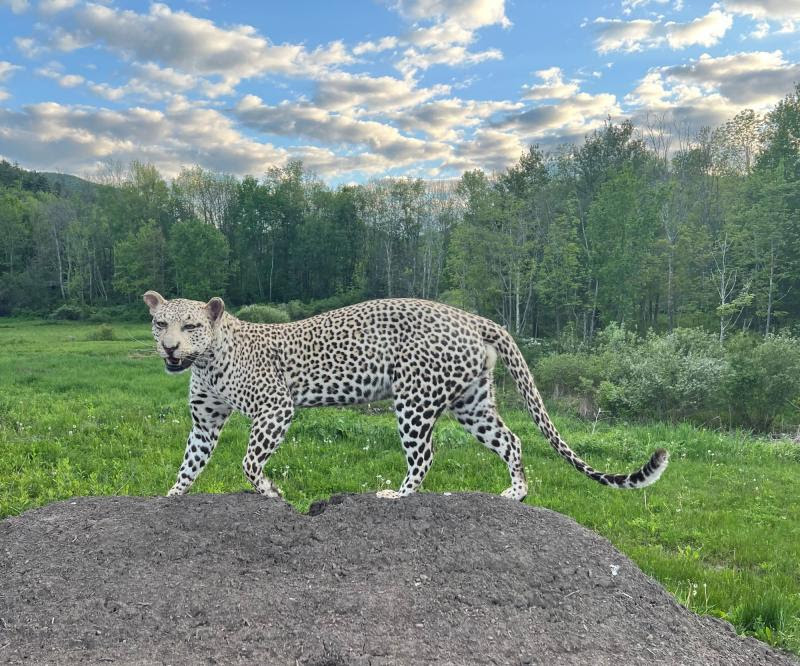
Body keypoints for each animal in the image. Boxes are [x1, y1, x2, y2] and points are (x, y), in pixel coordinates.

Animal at [144, 290, 668, 498]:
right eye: (160, 323)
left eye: (190, 327)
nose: (169, 349)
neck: (207, 361)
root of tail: (474, 318)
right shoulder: (205, 423)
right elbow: (189, 465)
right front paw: (170, 497)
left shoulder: (276, 409)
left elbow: (250, 462)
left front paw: (271, 491)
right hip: (472, 403)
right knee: (512, 440)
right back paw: (514, 494)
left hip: (414, 401)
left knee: (425, 456)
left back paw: (395, 495)